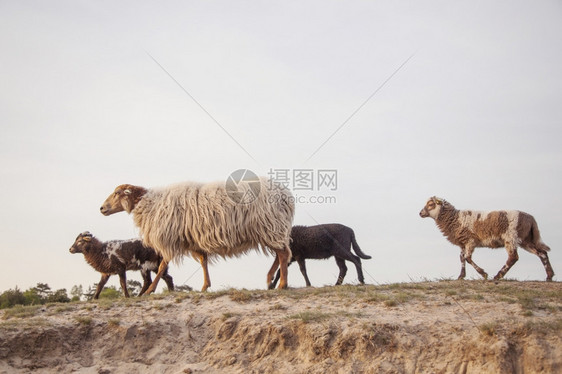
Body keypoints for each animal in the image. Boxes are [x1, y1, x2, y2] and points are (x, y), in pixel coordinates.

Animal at [99, 178, 296, 292]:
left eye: (117, 193)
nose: (101, 208)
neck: (149, 203)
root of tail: (286, 195)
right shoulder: (193, 240)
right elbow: (203, 262)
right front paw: (205, 286)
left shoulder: (170, 239)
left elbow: (162, 266)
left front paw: (150, 290)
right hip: (270, 229)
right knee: (281, 254)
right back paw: (271, 280)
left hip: (270, 226)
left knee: (283, 254)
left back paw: (282, 284)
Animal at [418, 196, 552, 280]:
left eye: (431, 204)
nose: (420, 213)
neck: (455, 219)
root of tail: (531, 218)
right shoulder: (463, 243)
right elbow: (462, 258)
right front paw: (461, 276)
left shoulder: (470, 241)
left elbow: (467, 258)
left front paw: (483, 274)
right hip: (526, 240)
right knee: (542, 253)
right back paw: (549, 276)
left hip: (511, 238)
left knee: (513, 257)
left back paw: (498, 276)